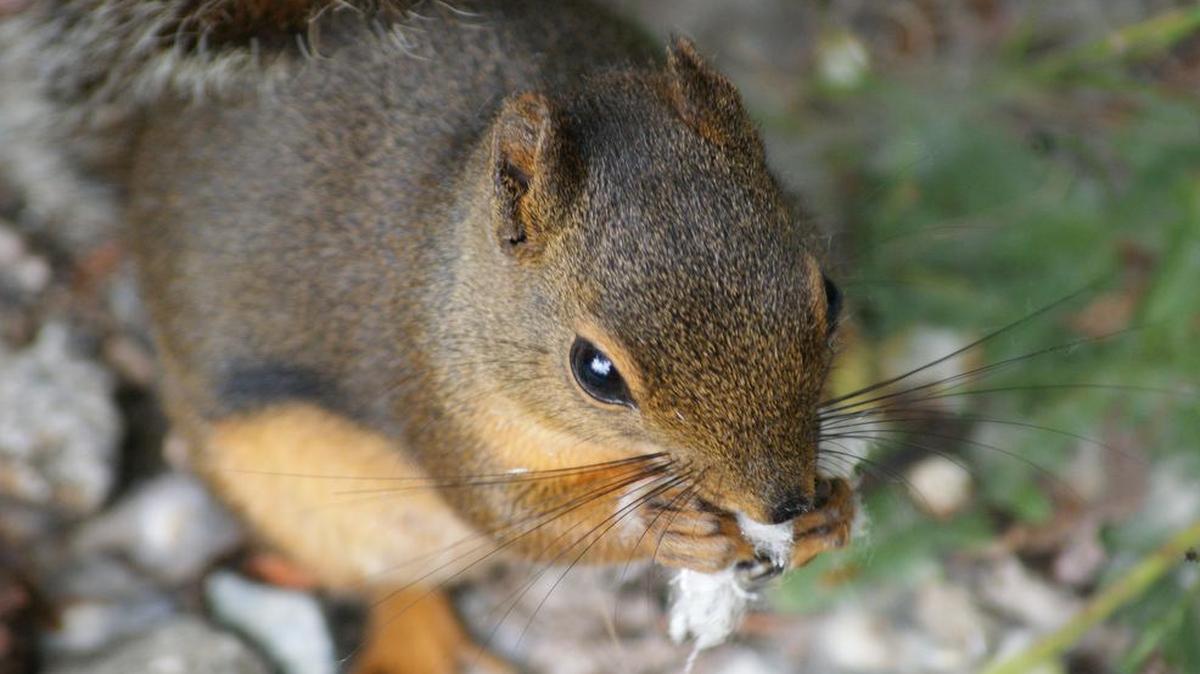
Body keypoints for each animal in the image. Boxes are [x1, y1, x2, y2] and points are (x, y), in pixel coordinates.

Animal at [0, 1, 857, 672]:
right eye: (595, 370)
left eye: (830, 293)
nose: (783, 500)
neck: (456, 272)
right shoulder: (433, 396)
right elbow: (512, 516)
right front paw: (661, 524)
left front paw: (833, 513)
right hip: (299, 497)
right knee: (394, 579)